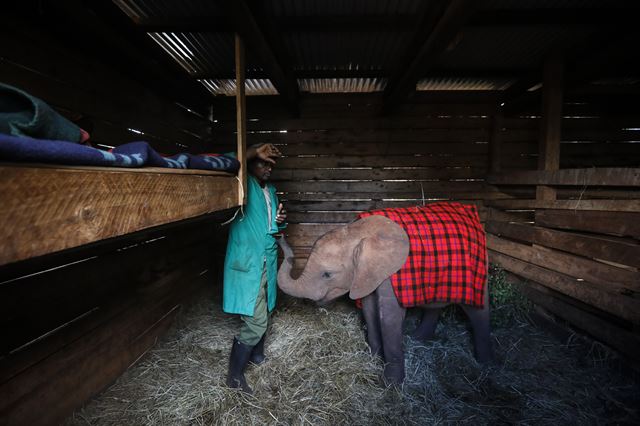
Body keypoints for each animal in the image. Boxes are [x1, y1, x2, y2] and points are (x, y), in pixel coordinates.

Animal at [278, 201, 492, 384]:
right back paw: (417, 338)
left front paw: (391, 385)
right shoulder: (367, 273)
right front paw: (373, 360)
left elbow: (388, 317)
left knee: (477, 311)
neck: (357, 232)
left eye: (327, 274)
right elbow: (369, 309)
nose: (279, 235)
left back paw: (486, 363)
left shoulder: (391, 272)